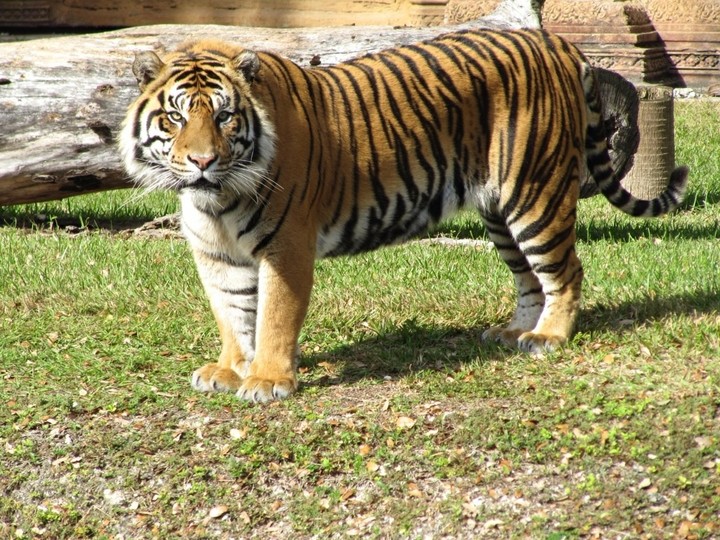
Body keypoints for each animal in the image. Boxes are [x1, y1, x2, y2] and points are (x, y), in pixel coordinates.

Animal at [119, 28, 688, 403]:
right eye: (175, 117)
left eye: (224, 117)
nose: (202, 161)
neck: (215, 199)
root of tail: (553, 42)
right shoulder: (215, 254)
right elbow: (233, 314)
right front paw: (231, 369)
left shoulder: (287, 248)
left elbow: (274, 316)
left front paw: (267, 380)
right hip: (500, 212)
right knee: (530, 278)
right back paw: (514, 333)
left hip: (535, 192)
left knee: (565, 271)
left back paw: (548, 338)